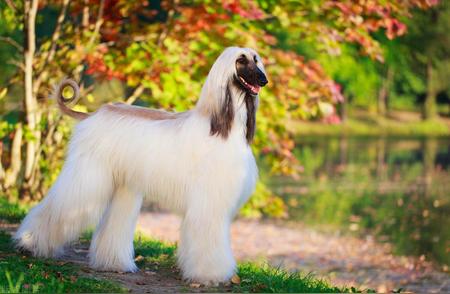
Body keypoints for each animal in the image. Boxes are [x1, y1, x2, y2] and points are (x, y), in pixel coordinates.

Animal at [13, 46, 268, 284]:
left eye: (256, 60)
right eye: (241, 60)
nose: (264, 80)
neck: (224, 126)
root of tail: (93, 114)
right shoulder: (209, 201)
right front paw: (211, 275)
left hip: (123, 184)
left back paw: (113, 263)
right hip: (88, 175)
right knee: (59, 207)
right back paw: (28, 243)